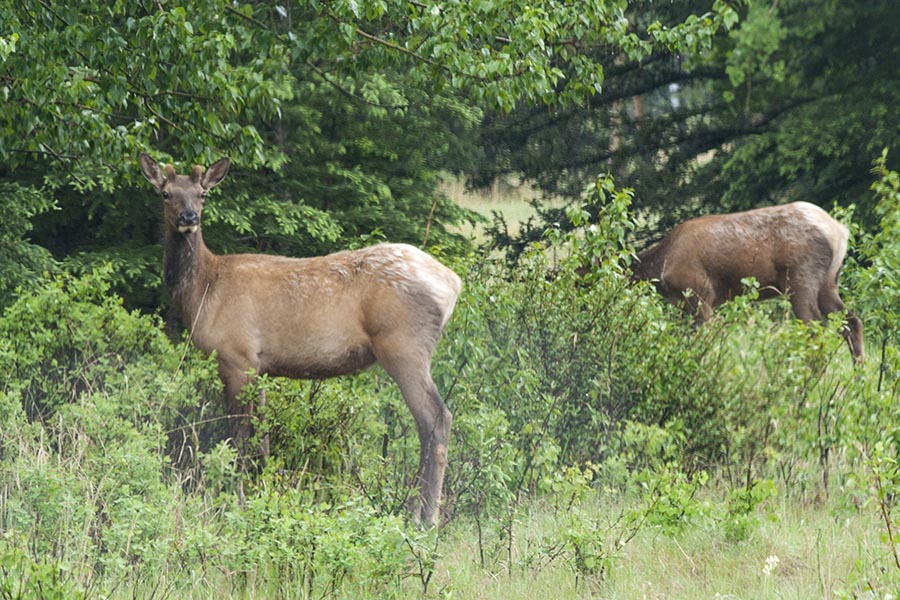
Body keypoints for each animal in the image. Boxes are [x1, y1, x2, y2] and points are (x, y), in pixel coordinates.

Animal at [142, 154, 464, 524]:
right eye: (166, 193)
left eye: (202, 194)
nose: (188, 218)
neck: (204, 292)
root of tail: (453, 282)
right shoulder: (258, 366)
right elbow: (263, 437)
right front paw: (261, 494)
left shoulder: (235, 356)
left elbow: (237, 437)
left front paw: (233, 499)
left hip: (404, 345)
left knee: (436, 419)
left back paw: (425, 518)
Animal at [628, 202, 860, 360]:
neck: (661, 265)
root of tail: (841, 231)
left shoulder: (700, 291)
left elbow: (701, 337)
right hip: (829, 282)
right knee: (852, 321)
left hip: (800, 277)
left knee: (814, 327)